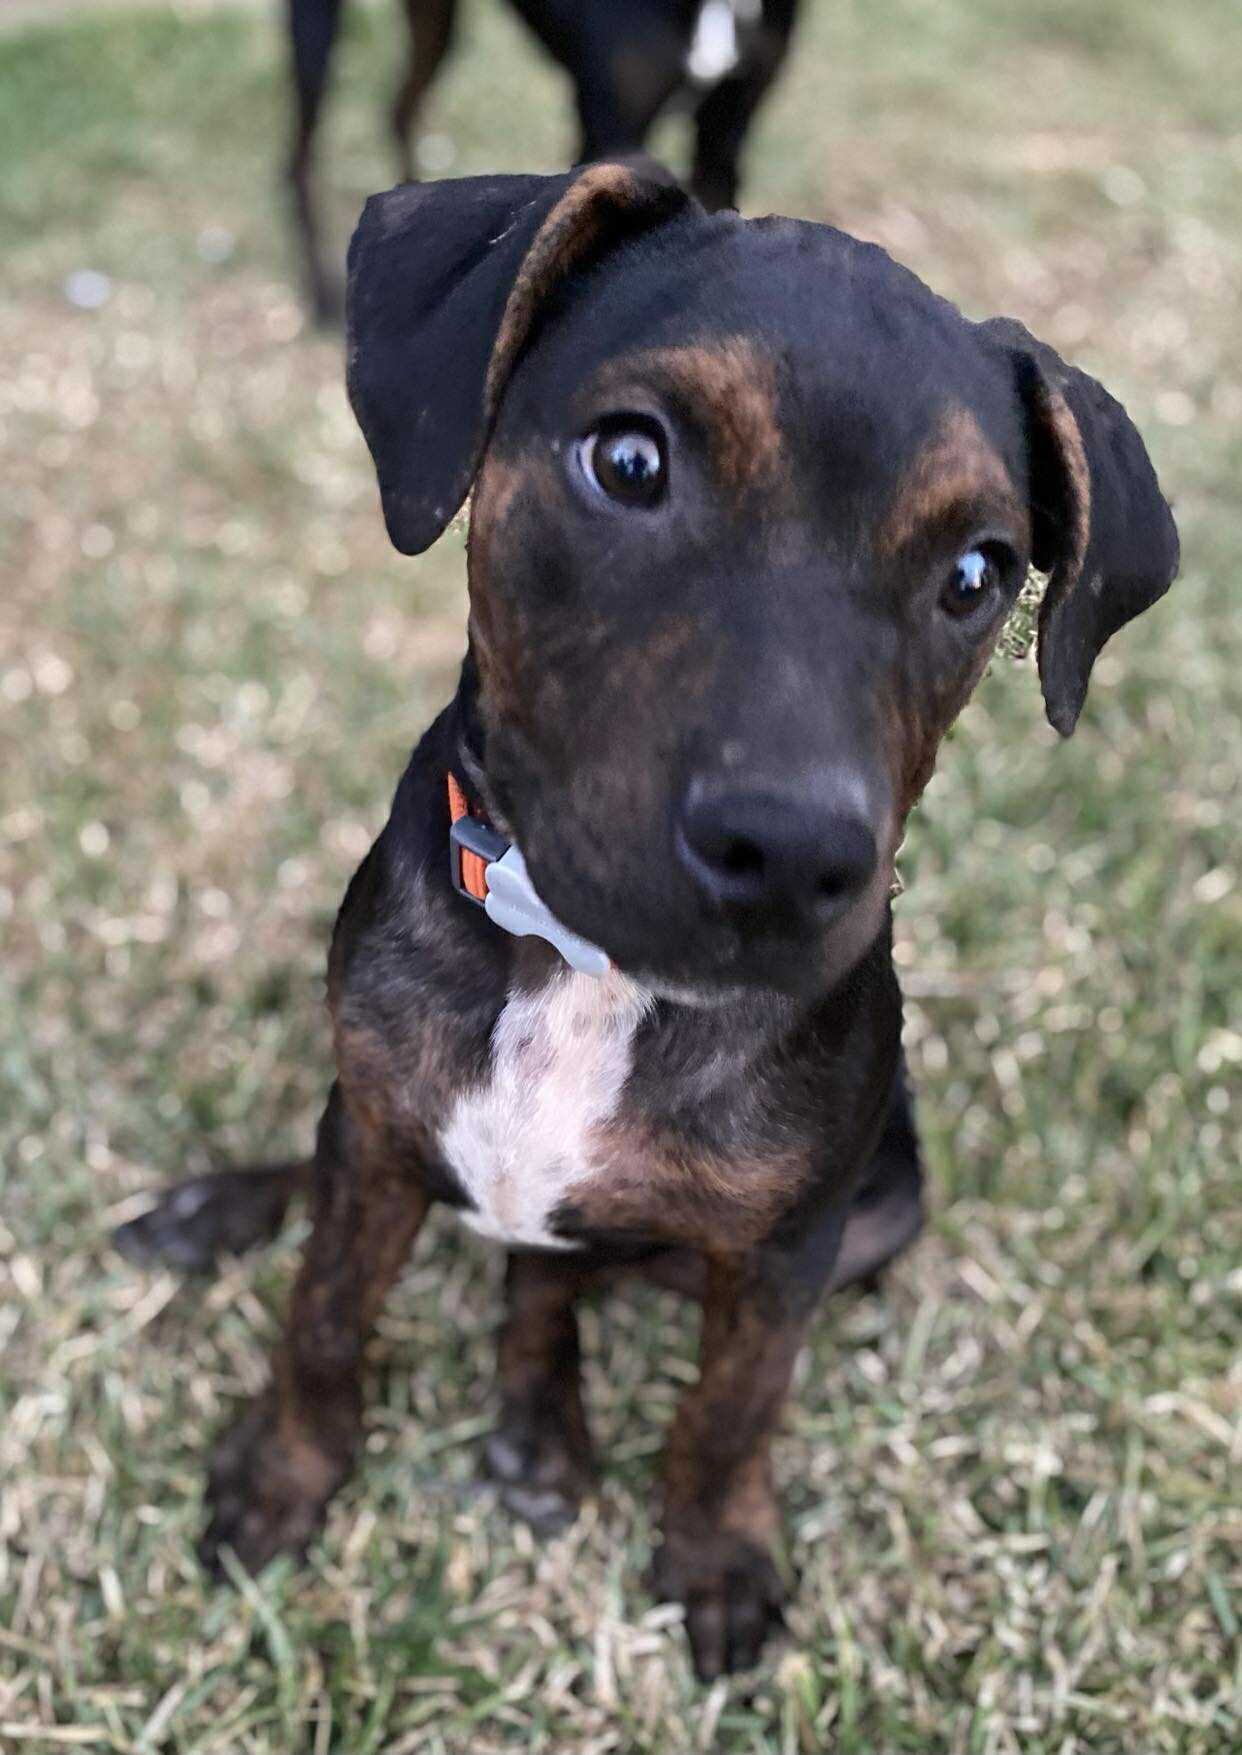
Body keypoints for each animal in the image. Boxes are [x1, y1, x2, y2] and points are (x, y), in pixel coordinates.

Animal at [117, 161, 1179, 1679]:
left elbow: (730, 1408)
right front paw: (283, 1472)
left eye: (978, 576)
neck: (588, 974)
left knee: (557, 1273)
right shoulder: (377, 1125)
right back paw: (225, 1208)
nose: (791, 855)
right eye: (628, 463)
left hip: (880, 1205)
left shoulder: (787, 1251)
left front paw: (719, 1554)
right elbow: (324, 1310)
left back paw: (539, 1424)